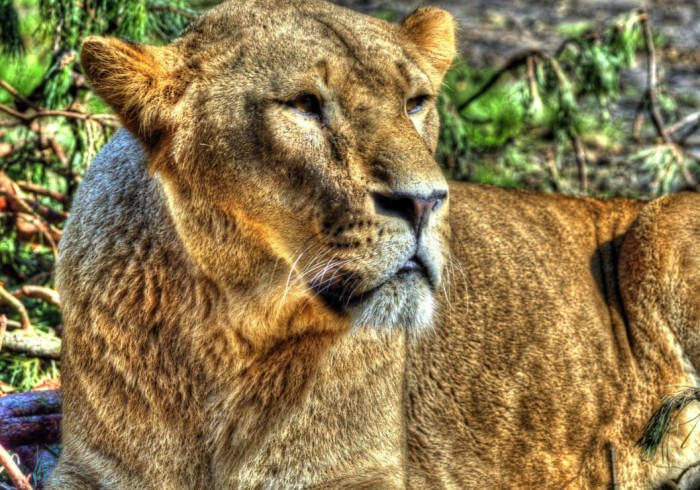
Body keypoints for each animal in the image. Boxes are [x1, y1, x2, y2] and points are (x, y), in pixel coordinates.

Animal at [45, 0, 700, 488]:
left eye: (415, 103)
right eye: (305, 106)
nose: (427, 201)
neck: (226, 343)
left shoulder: (366, 474)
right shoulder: (90, 472)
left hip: (663, 222)